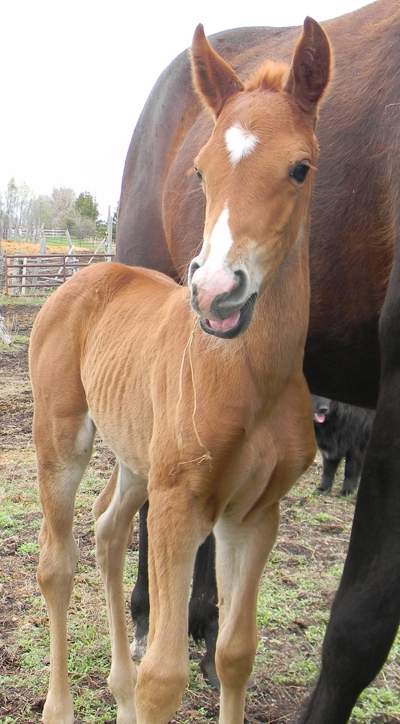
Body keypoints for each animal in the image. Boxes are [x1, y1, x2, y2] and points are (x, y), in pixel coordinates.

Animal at [30, 18, 330, 724]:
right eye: (201, 170)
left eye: (300, 168)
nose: (217, 292)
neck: (252, 380)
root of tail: (81, 276)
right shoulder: (179, 507)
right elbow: (163, 676)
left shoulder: (255, 514)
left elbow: (234, 653)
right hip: (62, 442)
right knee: (57, 563)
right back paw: (60, 707)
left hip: (137, 457)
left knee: (109, 530)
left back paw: (116, 694)